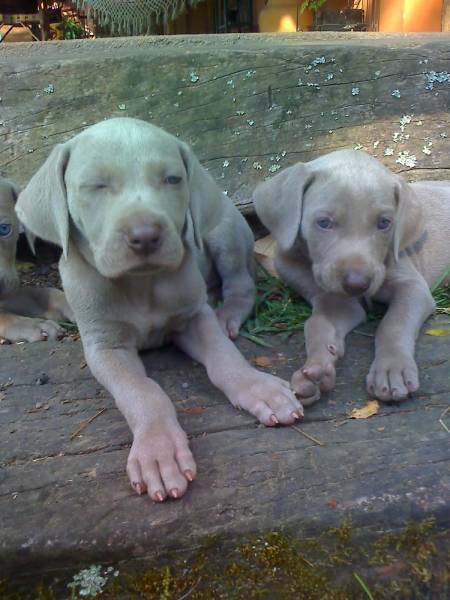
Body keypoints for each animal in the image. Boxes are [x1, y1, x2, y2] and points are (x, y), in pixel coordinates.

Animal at [15, 117, 302, 502]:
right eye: (97, 185)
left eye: (172, 179)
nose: (145, 235)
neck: (140, 284)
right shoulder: (104, 346)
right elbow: (142, 391)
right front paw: (159, 449)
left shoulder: (194, 316)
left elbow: (225, 358)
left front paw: (258, 387)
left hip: (223, 231)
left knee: (240, 282)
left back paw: (227, 313)